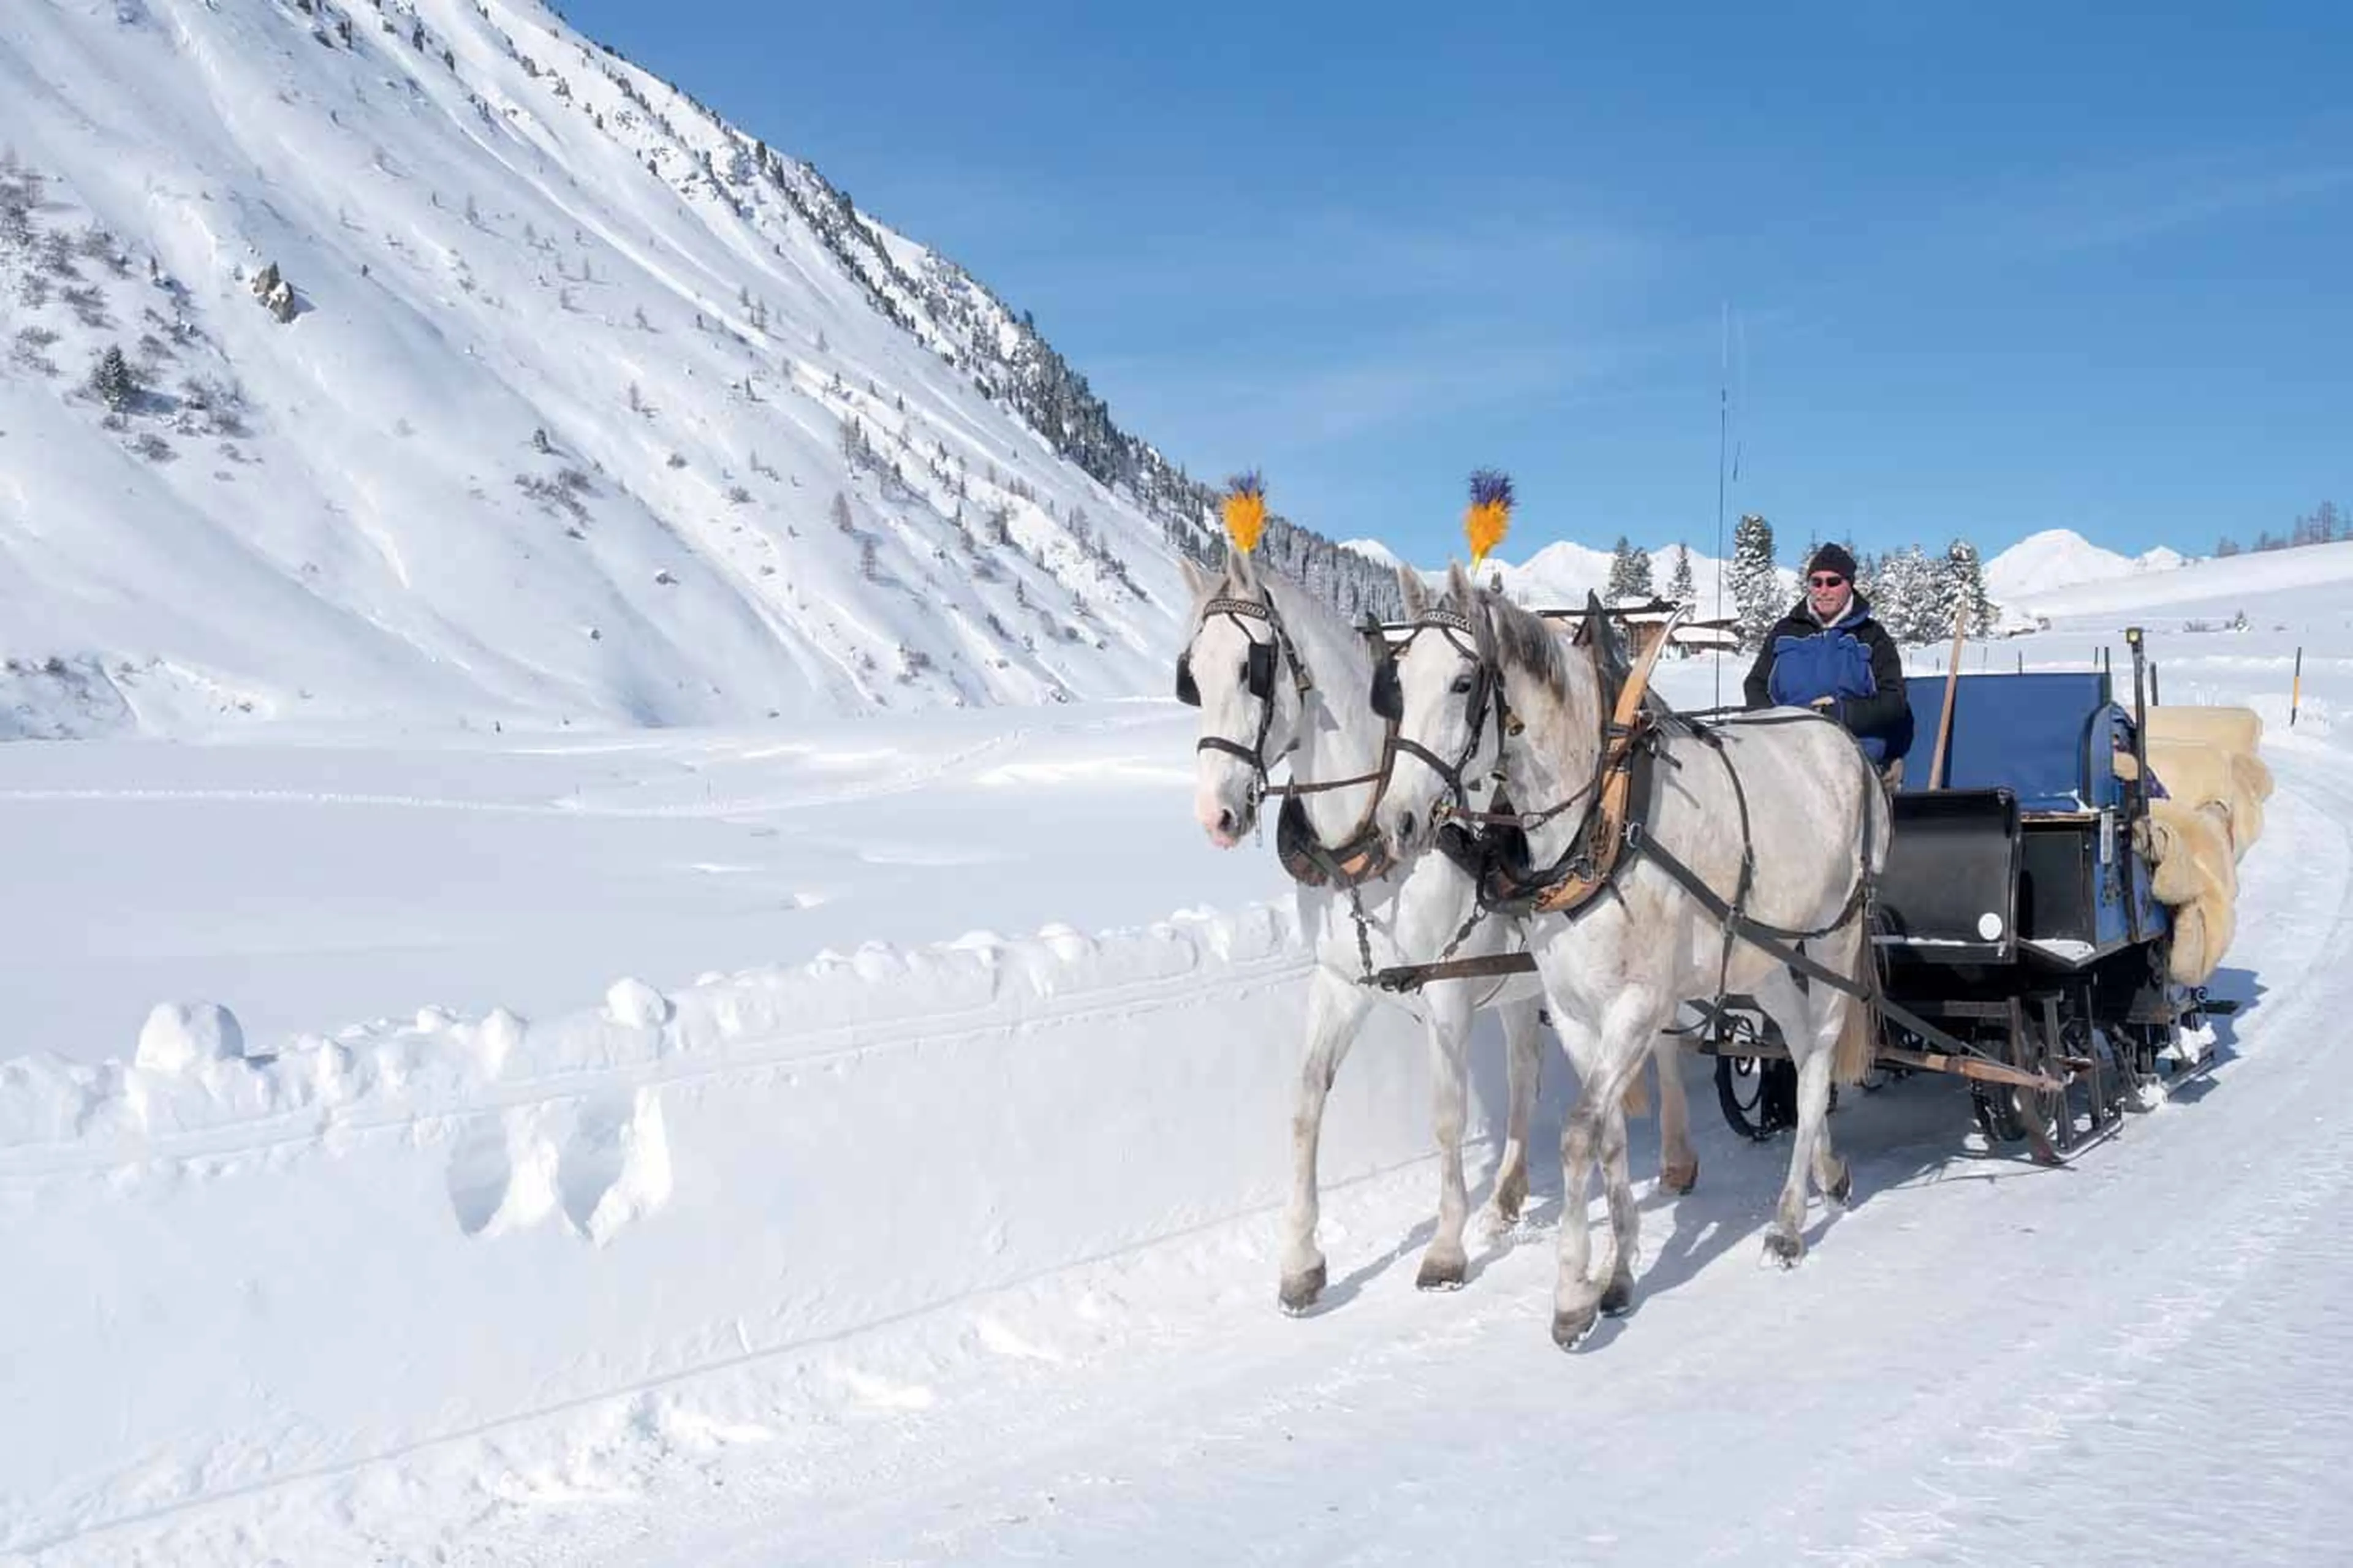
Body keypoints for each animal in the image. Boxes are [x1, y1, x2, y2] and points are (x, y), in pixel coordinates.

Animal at [1177, 546, 1697, 1313]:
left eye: (1253, 667)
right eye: (1193, 672)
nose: (1216, 814)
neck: (1370, 835)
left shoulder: (1447, 991)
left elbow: (1448, 1114)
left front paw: (1446, 1250)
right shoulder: (1341, 983)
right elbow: (1306, 1104)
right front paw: (1301, 1260)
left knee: (1663, 1045)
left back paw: (1678, 1157)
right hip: (1523, 985)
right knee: (1525, 1071)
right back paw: (1507, 1198)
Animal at [1371, 563, 1887, 1348]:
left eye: (1463, 683)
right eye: (1398, 680)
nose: (1396, 822)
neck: (1606, 817)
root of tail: (1839, 737)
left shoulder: (1639, 1005)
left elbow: (1580, 1132)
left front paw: (1570, 1294)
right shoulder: (1575, 1009)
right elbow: (1609, 1133)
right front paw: (1614, 1275)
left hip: (1835, 935)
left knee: (1820, 1060)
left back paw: (1789, 1223)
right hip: (1764, 955)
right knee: (1801, 1051)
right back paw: (1828, 1173)